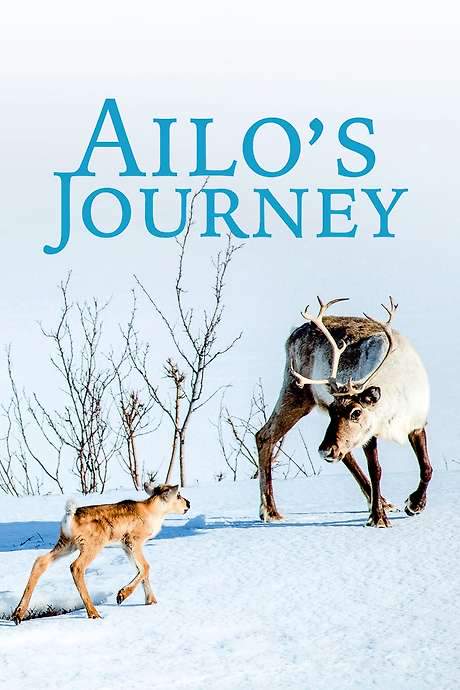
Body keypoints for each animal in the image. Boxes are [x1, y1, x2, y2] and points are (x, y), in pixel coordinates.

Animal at [12, 483, 190, 624]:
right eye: (178, 495)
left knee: (40, 561)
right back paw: (94, 613)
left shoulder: (125, 546)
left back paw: (18, 614)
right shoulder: (133, 540)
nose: (188, 503)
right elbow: (146, 567)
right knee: (76, 566)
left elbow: (141, 569)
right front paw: (121, 595)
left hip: (66, 543)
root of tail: (70, 516)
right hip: (92, 545)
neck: (152, 512)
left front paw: (151, 601)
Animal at [256, 296, 432, 528]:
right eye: (332, 410)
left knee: (344, 453)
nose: (324, 451)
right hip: (296, 391)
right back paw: (270, 511)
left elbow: (426, 468)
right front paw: (378, 518)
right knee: (264, 435)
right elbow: (376, 470)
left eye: (356, 412)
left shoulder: (417, 424)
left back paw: (384, 501)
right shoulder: (369, 434)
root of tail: (292, 334)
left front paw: (414, 505)